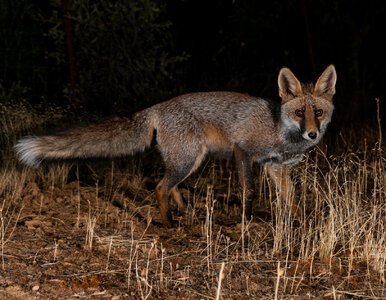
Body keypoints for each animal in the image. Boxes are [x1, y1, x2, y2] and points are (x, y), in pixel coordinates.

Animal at [15, 64, 334, 226]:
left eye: (318, 113)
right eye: (299, 113)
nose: (312, 135)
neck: (280, 130)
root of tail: (157, 106)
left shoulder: (276, 169)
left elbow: (292, 200)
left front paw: (303, 224)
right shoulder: (243, 151)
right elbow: (250, 191)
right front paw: (247, 221)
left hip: (191, 160)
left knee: (172, 187)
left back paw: (188, 215)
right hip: (187, 159)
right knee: (160, 187)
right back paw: (169, 224)